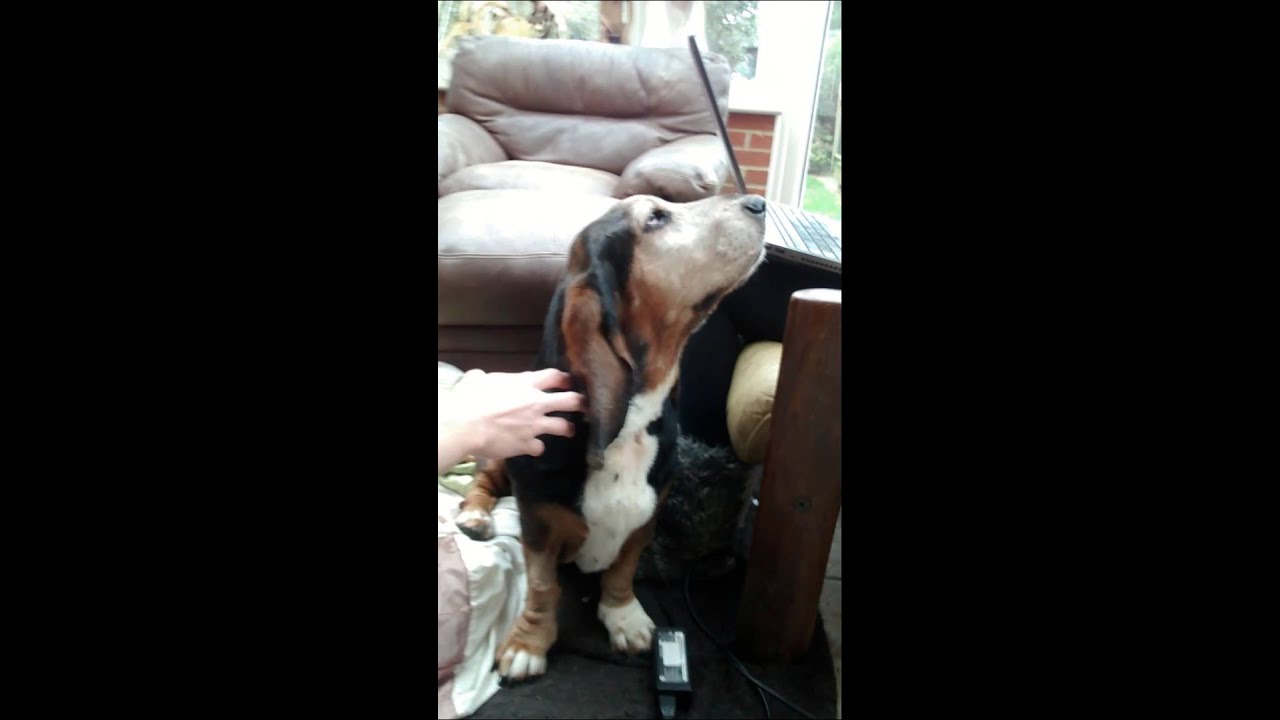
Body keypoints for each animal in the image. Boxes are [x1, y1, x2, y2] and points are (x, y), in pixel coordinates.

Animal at [454, 192, 768, 681]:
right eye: (655, 218)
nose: (758, 202)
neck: (631, 426)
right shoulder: (539, 522)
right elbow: (542, 584)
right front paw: (528, 644)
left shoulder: (648, 515)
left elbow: (622, 569)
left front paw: (624, 617)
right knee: (481, 483)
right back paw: (475, 517)